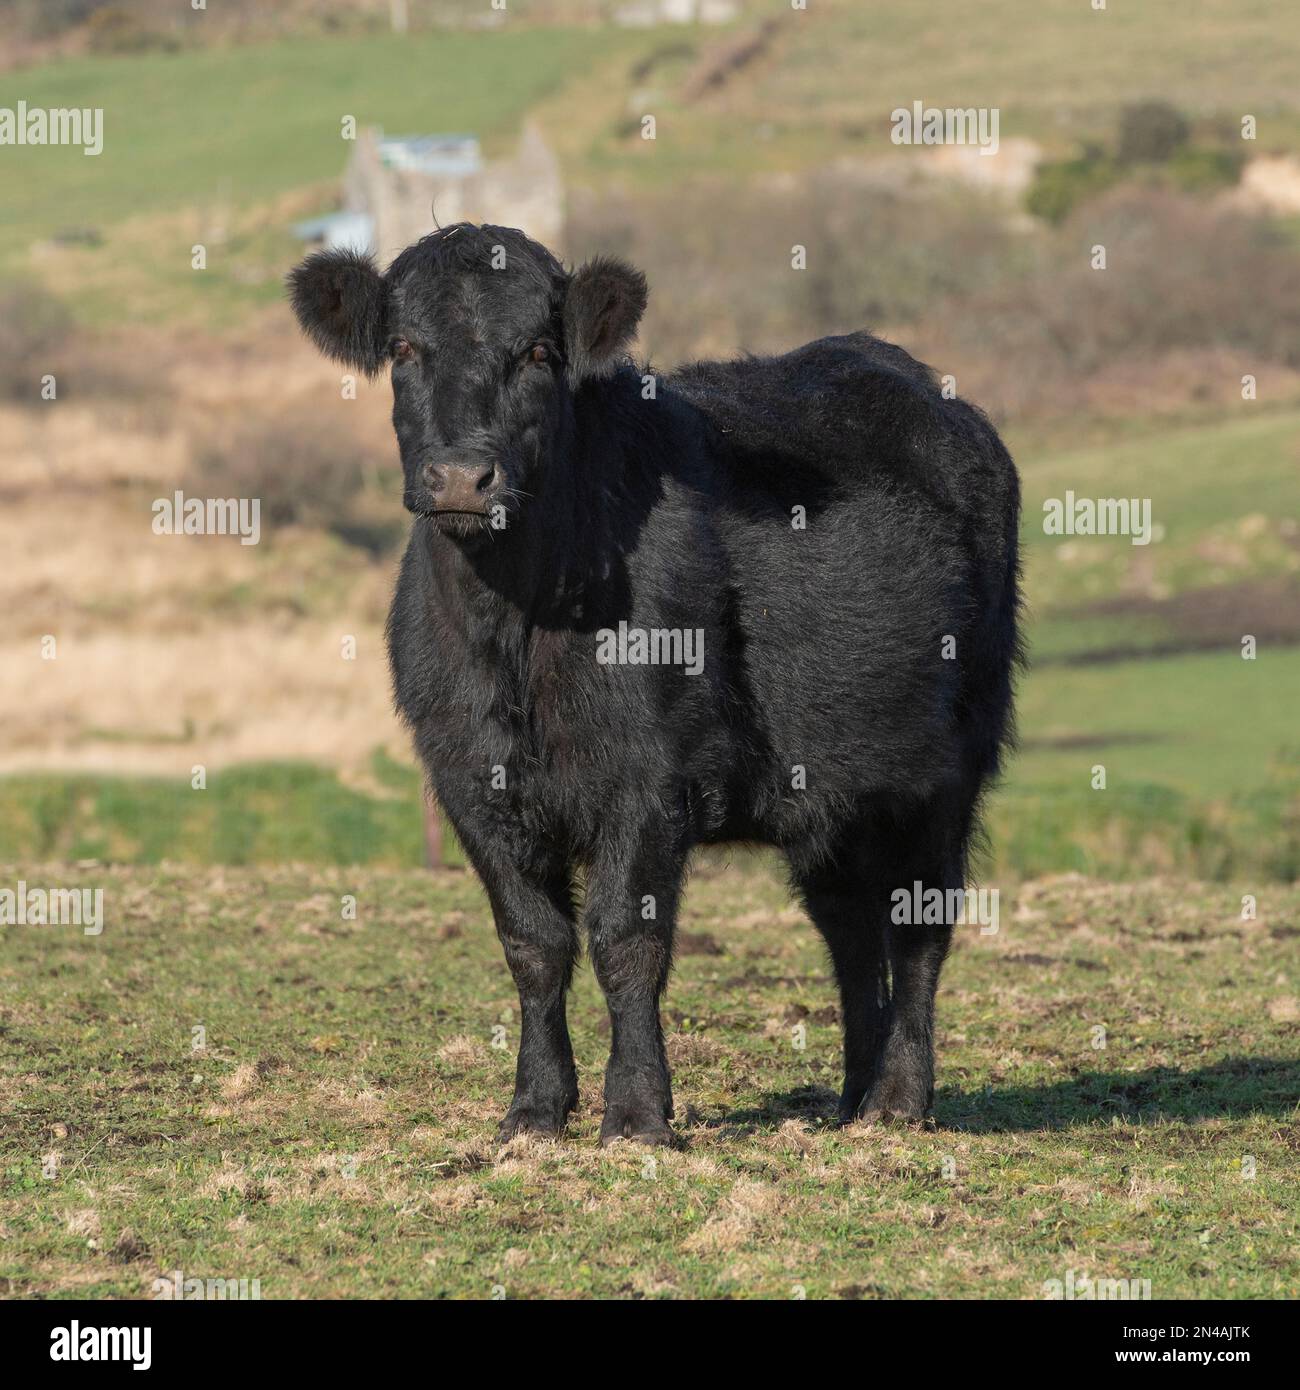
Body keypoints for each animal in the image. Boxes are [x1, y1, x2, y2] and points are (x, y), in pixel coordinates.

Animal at [288, 222, 1021, 1146]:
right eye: (403, 348)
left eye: (537, 352)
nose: (461, 479)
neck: (515, 627)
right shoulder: (467, 780)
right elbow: (532, 942)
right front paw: (534, 1109)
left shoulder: (649, 777)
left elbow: (624, 940)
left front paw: (637, 1114)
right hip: (829, 788)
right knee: (848, 926)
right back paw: (851, 1100)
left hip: (948, 765)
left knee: (917, 922)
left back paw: (898, 1101)